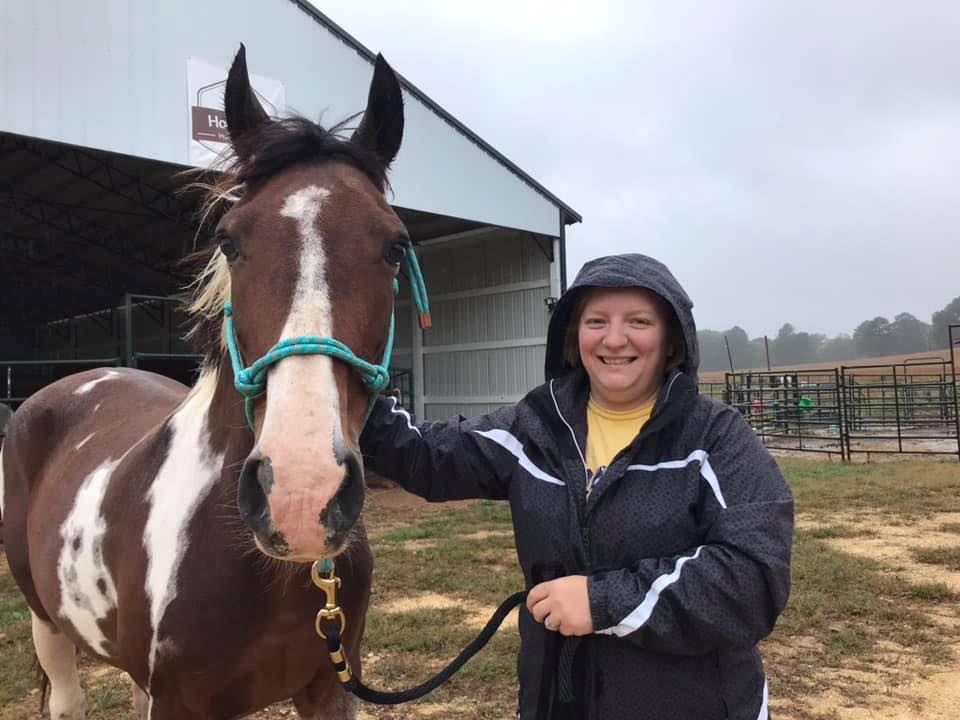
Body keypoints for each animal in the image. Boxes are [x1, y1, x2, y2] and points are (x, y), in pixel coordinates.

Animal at [0, 45, 412, 720]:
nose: (300, 494)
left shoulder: (329, 686)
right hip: (46, 621)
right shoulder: (174, 699)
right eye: (229, 241)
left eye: (395, 246)